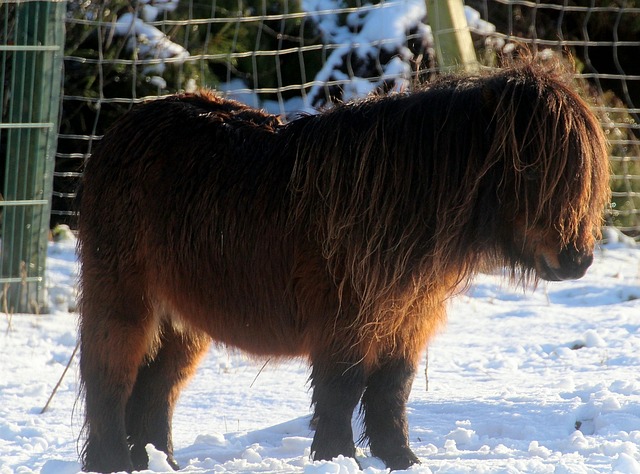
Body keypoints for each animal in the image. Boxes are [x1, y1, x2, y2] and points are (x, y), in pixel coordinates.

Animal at [76, 61, 608, 472]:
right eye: (532, 168)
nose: (578, 260)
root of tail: (122, 129)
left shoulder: (406, 321)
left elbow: (392, 393)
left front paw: (403, 461)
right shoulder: (345, 321)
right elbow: (342, 391)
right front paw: (337, 458)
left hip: (183, 320)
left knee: (156, 390)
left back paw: (159, 462)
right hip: (123, 297)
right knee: (109, 378)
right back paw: (115, 463)